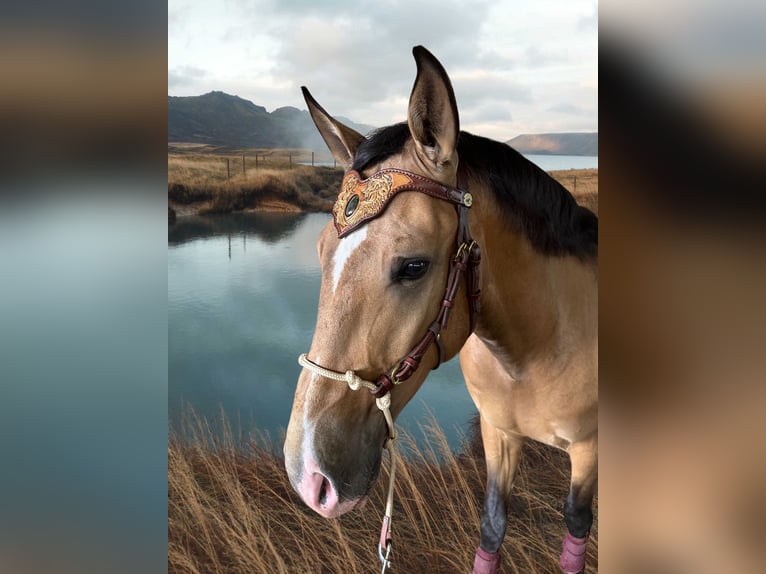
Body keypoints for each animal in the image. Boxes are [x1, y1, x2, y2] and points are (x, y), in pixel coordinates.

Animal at [284, 46, 600, 574]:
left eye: (414, 266)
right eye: (321, 251)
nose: (309, 476)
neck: (539, 345)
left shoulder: (588, 451)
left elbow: (576, 530)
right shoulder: (497, 434)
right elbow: (492, 526)